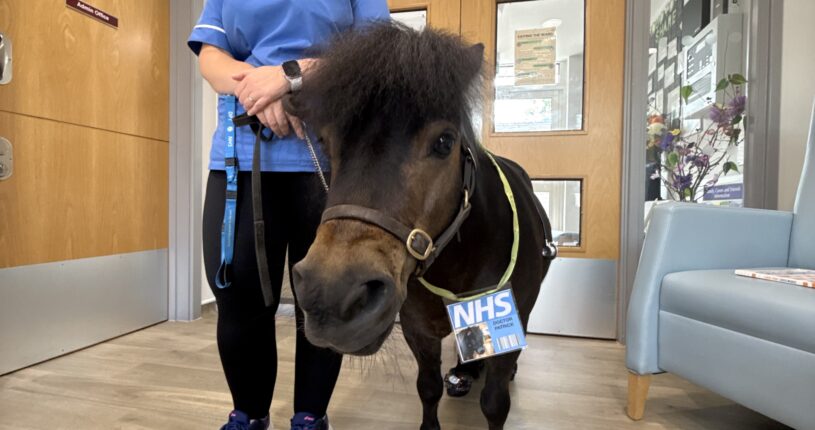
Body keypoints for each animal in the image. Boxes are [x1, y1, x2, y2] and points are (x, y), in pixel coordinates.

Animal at [285, 23, 554, 430]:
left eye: (444, 141)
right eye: (324, 143)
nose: (331, 295)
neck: (458, 264)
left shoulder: (509, 316)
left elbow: (494, 403)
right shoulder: (417, 330)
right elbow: (428, 389)